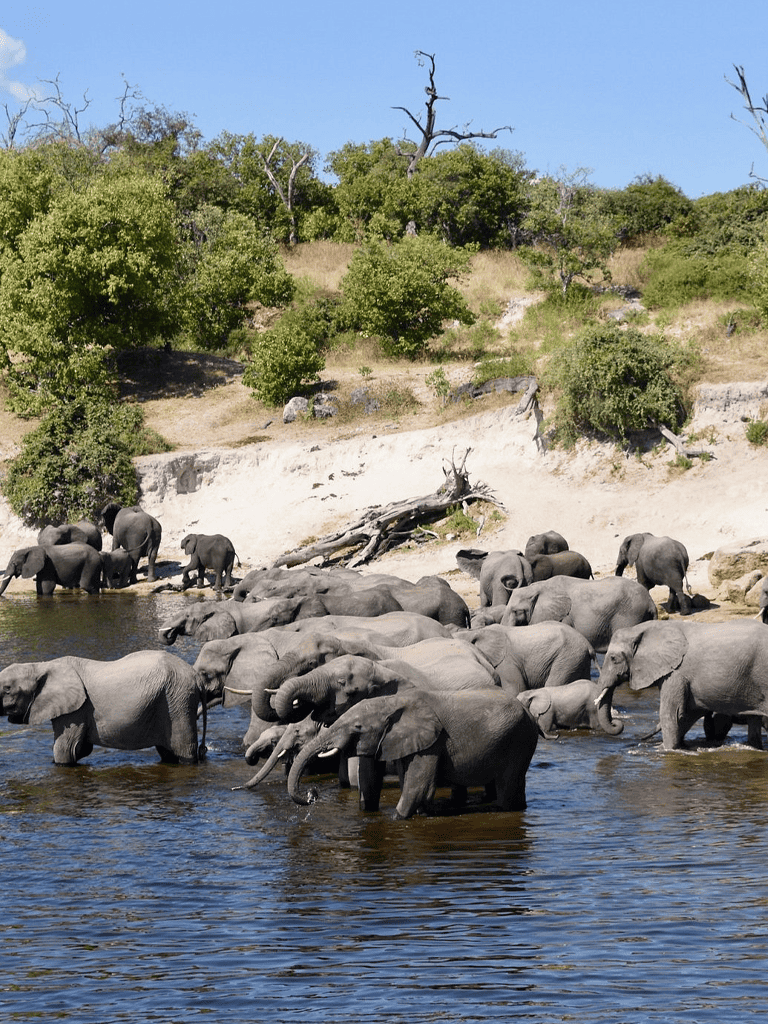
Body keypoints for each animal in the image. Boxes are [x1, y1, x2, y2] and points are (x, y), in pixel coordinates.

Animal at [0, 650, 208, 764]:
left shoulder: (76, 710)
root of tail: (196, 676)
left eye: (7, 689)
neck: (40, 665)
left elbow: (66, 750)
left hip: (178, 701)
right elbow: (80, 749)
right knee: (167, 753)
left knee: (185, 751)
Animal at [284, 688, 539, 817]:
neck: (391, 702)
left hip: (519, 739)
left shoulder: (432, 743)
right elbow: (372, 781)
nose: (312, 794)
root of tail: (527, 710)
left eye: (357, 727)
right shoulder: (395, 739)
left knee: (508, 788)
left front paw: (398, 818)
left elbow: (419, 787)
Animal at [460, 622, 596, 695]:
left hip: (568, 657)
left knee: (554, 683)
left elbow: (516, 689)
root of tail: (588, 645)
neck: (476, 631)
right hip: (578, 660)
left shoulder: (506, 662)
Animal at [595, 619, 768, 749]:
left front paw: (667, 750)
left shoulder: (676, 673)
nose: (617, 723)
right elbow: (687, 713)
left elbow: (672, 713)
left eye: (613, 658)